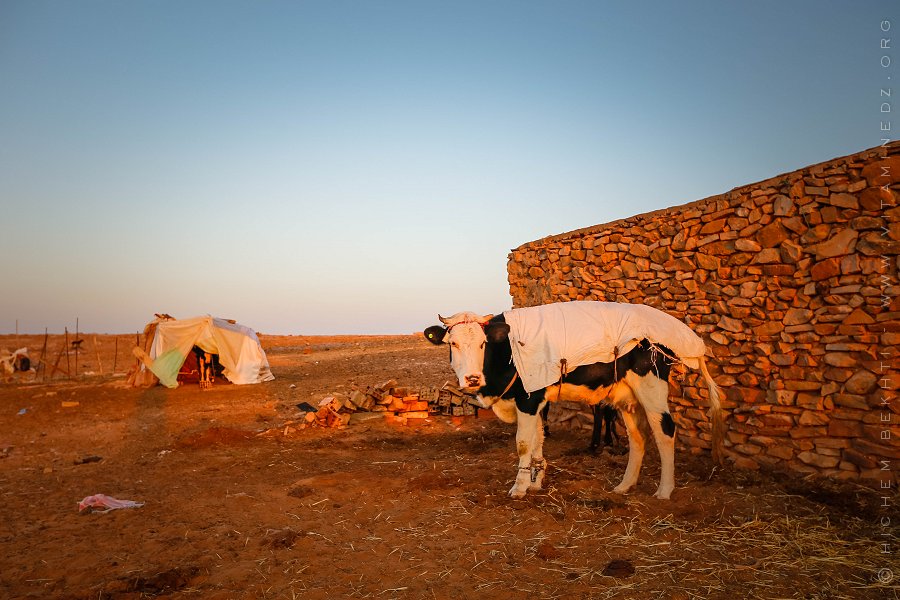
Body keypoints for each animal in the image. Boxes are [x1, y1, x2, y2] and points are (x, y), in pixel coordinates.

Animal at [424, 303, 723, 500]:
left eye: (483, 343)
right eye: (453, 344)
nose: (472, 378)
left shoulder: (528, 399)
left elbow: (523, 443)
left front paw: (520, 487)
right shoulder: (538, 399)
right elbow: (538, 438)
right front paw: (536, 481)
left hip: (652, 387)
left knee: (664, 431)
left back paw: (664, 490)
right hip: (627, 396)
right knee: (638, 437)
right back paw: (625, 485)